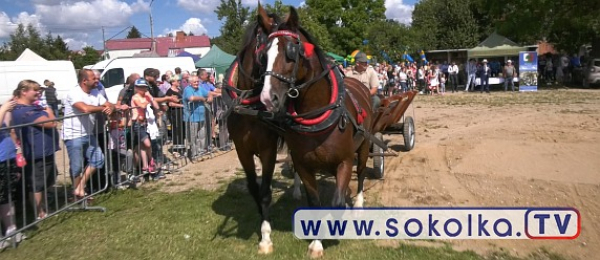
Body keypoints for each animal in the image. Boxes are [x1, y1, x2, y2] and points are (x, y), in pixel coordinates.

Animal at [258, 6, 376, 258]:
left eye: (291, 51)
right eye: (264, 55)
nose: (267, 98)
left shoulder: (344, 161)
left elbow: (337, 204)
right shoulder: (304, 165)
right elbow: (314, 203)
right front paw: (316, 243)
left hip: (363, 146)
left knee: (361, 172)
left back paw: (358, 204)